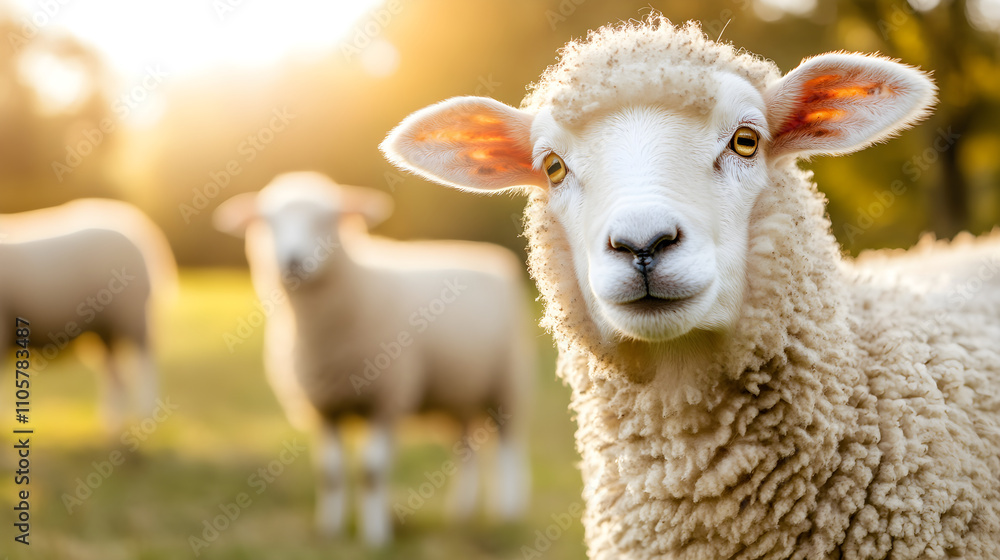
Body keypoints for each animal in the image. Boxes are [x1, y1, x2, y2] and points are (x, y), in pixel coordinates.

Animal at [0, 198, 177, 434]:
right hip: (106, 328)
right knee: (116, 376)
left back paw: (144, 416)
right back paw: (112, 424)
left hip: (132, 314)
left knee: (144, 365)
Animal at [212, 171, 534, 546]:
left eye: (327, 220)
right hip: (454, 396)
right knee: (466, 450)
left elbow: (372, 472)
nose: (292, 261)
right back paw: (462, 513)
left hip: (507, 383)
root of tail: (489, 257)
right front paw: (329, 531)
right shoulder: (325, 407)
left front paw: (376, 537)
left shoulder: (387, 399)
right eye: (266, 222)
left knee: (510, 449)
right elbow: (330, 474)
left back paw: (510, 512)